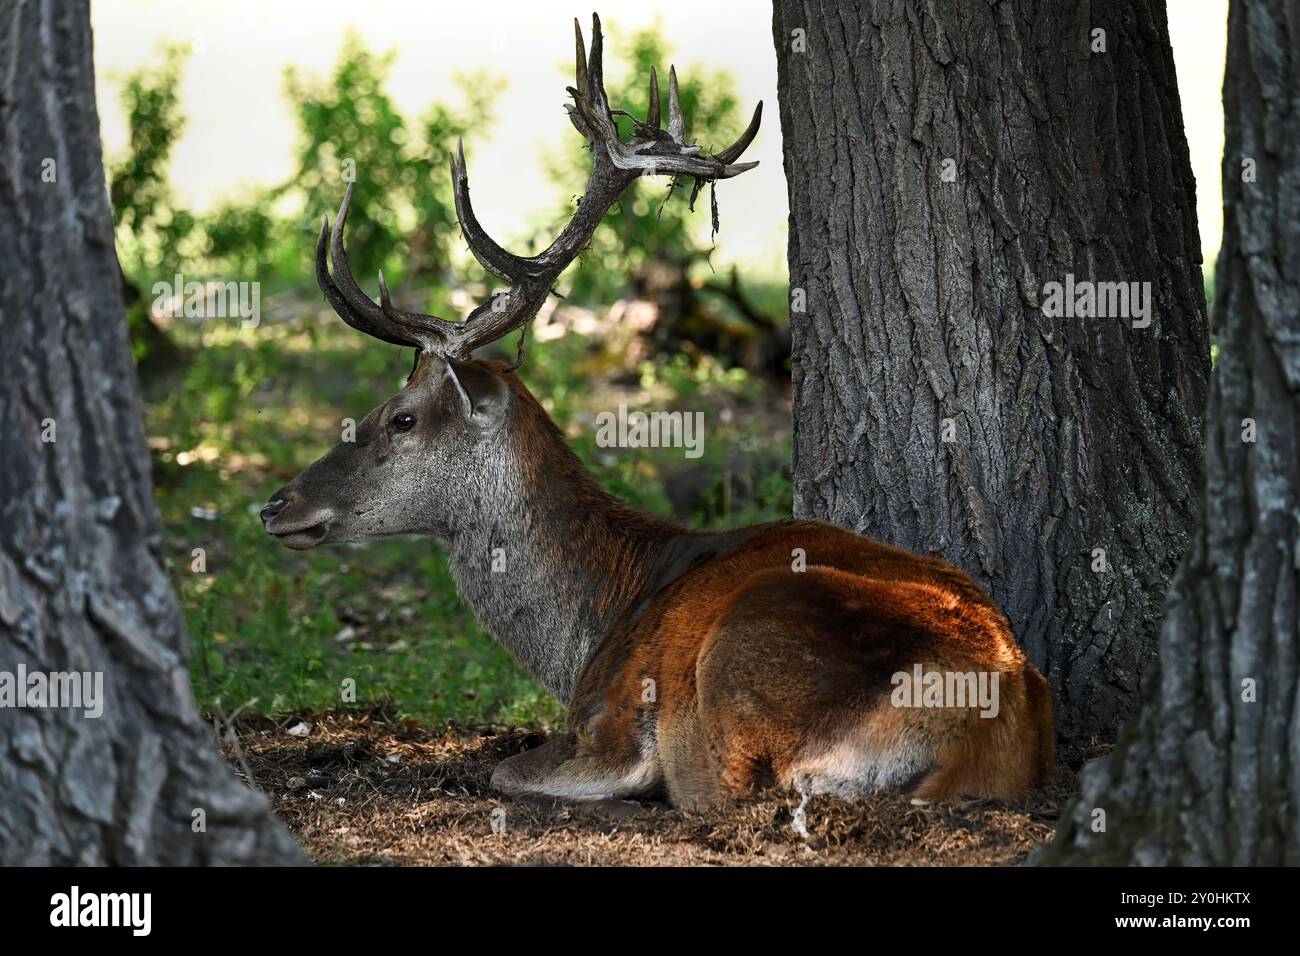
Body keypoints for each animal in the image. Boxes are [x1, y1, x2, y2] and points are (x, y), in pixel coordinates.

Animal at [261, 14, 1055, 810]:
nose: (275, 505)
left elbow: (505, 766)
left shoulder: (606, 718)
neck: (591, 628)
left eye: (402, 417)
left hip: (740, 665)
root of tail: (978, 729)